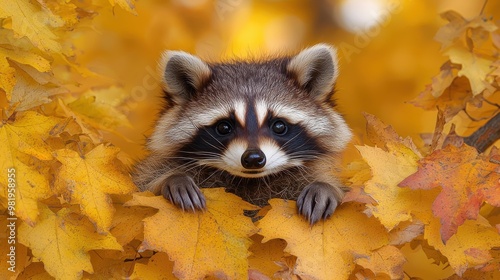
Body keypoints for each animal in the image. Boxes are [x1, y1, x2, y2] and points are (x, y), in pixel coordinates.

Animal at [133, 43, 352, 224]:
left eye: (279, 126)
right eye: (224, 127)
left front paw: (325, 187)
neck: (251, 180)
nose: (253, 159)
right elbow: (143, 185)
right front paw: (172, 179)